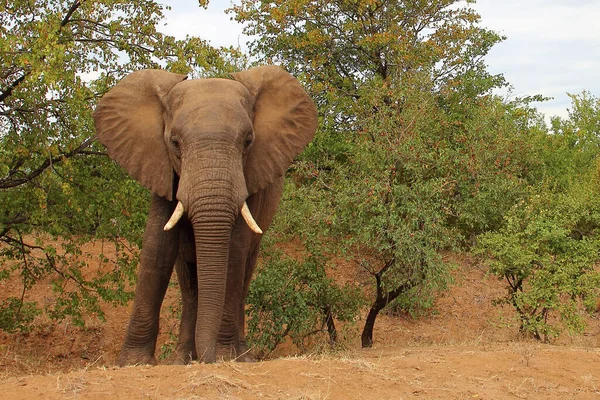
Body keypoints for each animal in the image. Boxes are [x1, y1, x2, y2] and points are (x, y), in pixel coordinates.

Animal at [94, 65, 318, 366]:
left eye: (248, 142)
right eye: (174, 143)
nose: (207, 359)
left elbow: (234, 251)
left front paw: (225, 356)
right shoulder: (160, 165)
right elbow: (157, 247)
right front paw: (134, 363)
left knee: (243, 273)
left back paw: (241, 356)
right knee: (190, 284)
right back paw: (182, 360)